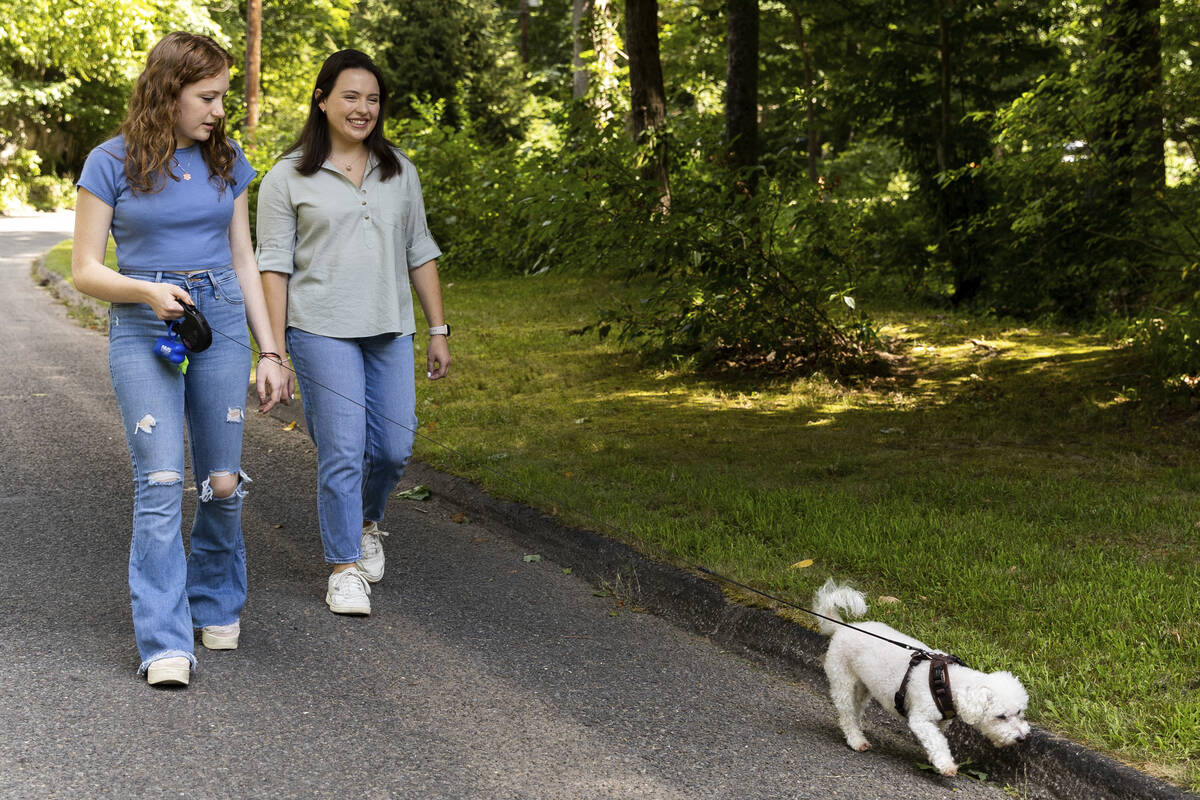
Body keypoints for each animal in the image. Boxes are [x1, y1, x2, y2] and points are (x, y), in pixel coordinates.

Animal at [816, 578, 1032, 777]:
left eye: (1019, 712)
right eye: (1001, 716)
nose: (1021, 738)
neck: (947, 682)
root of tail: (844, 628)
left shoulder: (941, 722)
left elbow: (938, 738)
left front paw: (933, 759)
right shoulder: (921, 719)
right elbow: (936, 741)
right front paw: (946, 765)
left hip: (863, 686)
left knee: (857, 708)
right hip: (842, 680)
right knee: (846, 714)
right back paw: (856, 739)